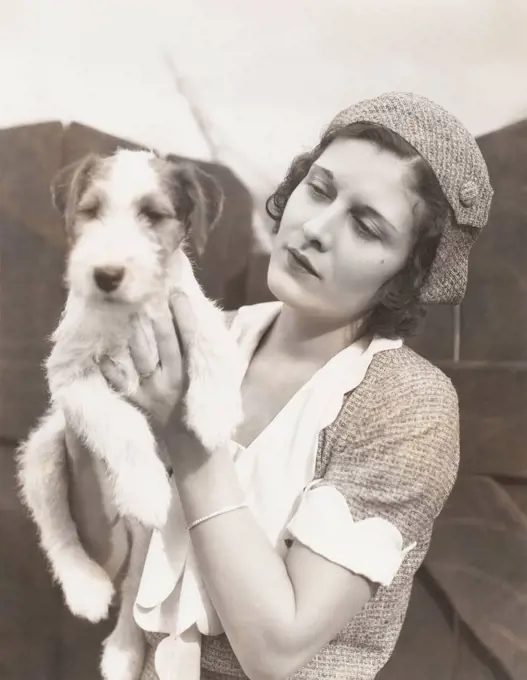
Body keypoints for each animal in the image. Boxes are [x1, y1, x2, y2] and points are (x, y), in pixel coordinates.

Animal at [16, 150, 243, 680]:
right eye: (91, 211)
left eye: (153, 215)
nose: (105, 274)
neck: (130, 312)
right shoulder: (72, 377)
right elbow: (123, 423)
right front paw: (144, 485)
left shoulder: (186, 308)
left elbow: (209, 332)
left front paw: (214, 407)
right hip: (45, 453)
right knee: (59, 531)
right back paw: (86, 588)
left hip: (145, 542)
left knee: (136, 586)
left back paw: (122, 650)